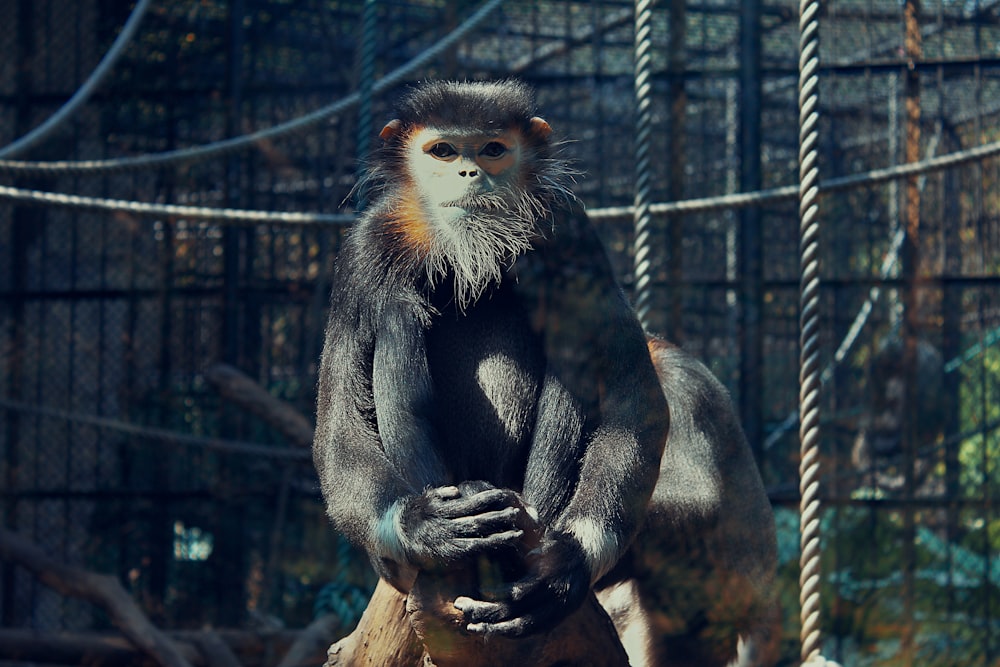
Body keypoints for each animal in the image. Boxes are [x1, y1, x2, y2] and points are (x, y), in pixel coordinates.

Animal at [312, 81, 780, 664]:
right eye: (443, 151)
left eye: (493, 149)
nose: (469, 173)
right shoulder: (362, 250)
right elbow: (337, 429)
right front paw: (425, 528)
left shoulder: (574, 233)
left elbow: (637, 403)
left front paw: (565, 567)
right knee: (397, 311)